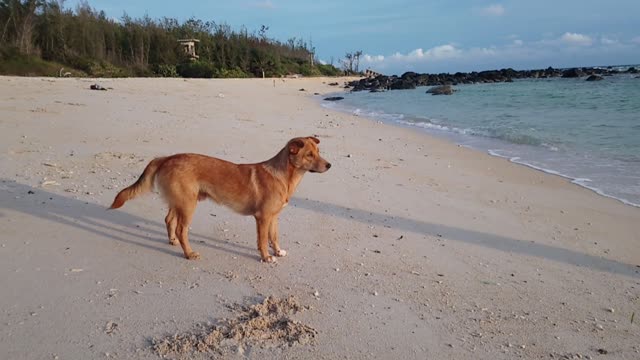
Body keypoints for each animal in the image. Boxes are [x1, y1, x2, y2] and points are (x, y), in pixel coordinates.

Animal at [109, 136, 330, 262]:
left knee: (169, 220)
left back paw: (173, 241)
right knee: (181, 229)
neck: (285, 176)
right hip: (188, 205)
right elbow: (262, 240)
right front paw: (266, 257)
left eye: (319, 152)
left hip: (180, 201)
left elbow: (274, 237)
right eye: (309, 155)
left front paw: (277, 252)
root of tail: (166, 158)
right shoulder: (263, 218)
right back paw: (189, 253)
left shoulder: (273, 217)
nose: (329, 165)